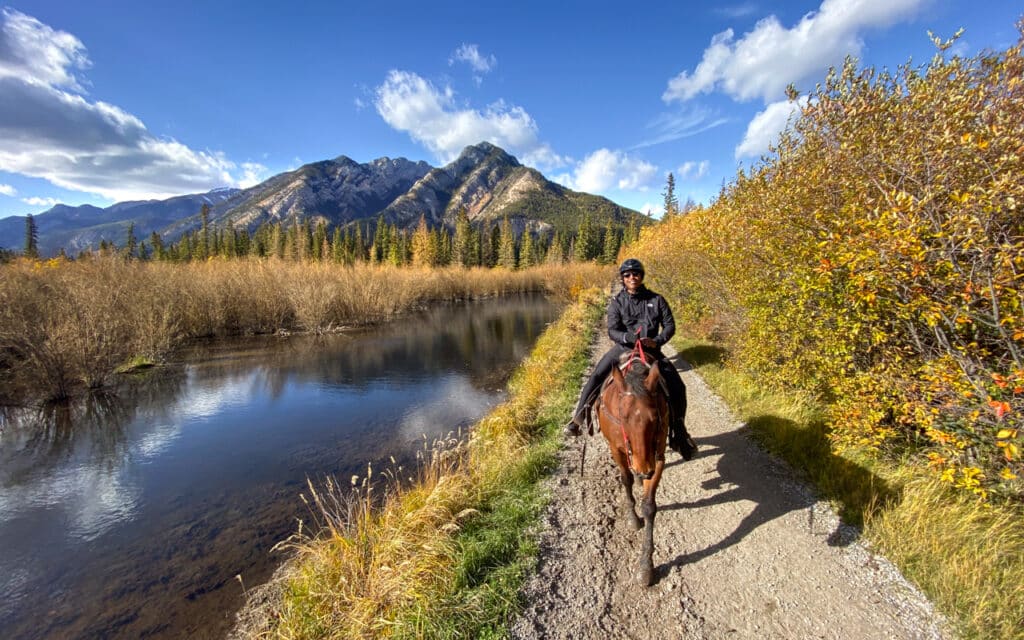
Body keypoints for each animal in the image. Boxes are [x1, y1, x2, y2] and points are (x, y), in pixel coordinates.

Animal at [595, 356, 669, 586]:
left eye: (654, 418)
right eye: (623, 416)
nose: (644, 469)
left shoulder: (658, 457)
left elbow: (649, 507)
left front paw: (646, 566)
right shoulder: (616, 449)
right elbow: (625, 479)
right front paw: (633, 517)